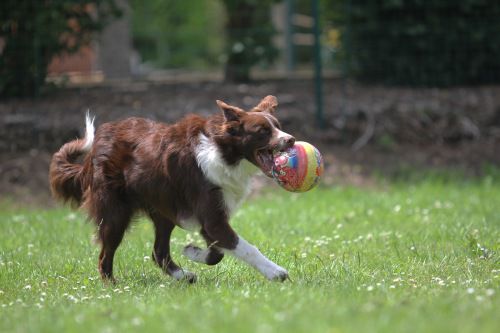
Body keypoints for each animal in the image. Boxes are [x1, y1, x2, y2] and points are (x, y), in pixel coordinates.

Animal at [48, 94, 294, 282]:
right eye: (262, 131)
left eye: (278, 127)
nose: (291, 139)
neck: (223, 152)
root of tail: (94, 150)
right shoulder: (213, 218)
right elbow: (245, 247)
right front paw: (276, 272)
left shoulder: (211, 219)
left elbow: (217, 254)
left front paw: (192, 251)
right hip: (115, 213)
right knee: (104, 256)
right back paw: (112, 286)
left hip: (162, 210)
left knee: (158, 252)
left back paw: (182, 276)